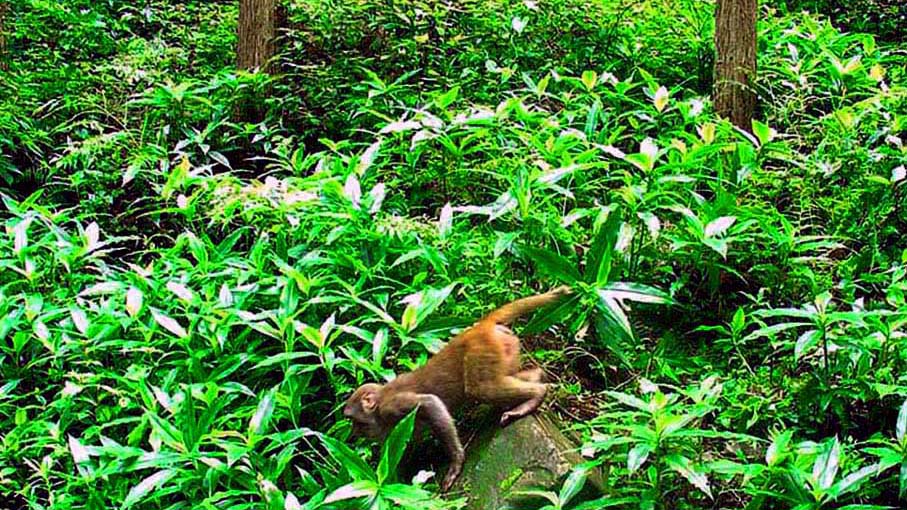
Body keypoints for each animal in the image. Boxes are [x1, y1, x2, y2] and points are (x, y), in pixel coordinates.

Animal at [344, 284, 572, 492]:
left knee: (480, 389)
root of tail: (480, 327)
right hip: (505, 347)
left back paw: (535, 396)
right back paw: (537, 377)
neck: (380, 406)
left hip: (481, 350)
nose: (353, 434)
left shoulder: (392, 407)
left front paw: (455, 463)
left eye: (356, 421)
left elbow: (431, 403)